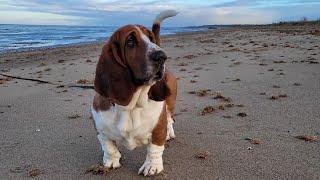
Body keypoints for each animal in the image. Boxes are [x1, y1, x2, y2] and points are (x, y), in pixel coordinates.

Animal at [91, 9, 179, 176]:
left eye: (151, 38)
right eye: (130, 42)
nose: (162, 56)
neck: (131, 106)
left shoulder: (158, 129)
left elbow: (154, 149)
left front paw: (152, 166)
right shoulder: (101, 131)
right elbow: (109, 147)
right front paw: (110, 162)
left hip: (170, 103)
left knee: (170, 118)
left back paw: (170, 133)